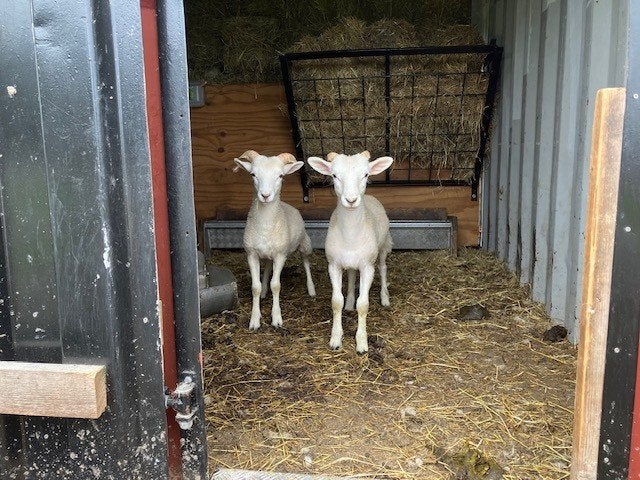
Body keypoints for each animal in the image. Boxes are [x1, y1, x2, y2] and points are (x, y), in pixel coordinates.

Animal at [234, 150, 316, 330]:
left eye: (280, 175)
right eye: (253, 174)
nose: (265, 195)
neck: (265, 225)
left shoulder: (280, 256)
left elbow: (276, 285)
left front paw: (277, 319)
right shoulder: (251, 254)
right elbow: (255, 286)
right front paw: (255, 319)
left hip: (305, 244)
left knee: (306, 262)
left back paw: (311, 289)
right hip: (266, 255)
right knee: (267, 268)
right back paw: (264, 292)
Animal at [307, 150, 394, 353]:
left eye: (366, 174)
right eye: (334, 175)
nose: (351, 200)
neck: (350, 234)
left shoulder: (367, 266)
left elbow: (363, 304)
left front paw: (361, 343)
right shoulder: (333, 265)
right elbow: (336, 301)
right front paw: (335, 338)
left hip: (383, 247)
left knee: (383, 269)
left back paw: (385, 298)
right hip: (352, 262)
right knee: (353, 275)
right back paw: (349, 304)